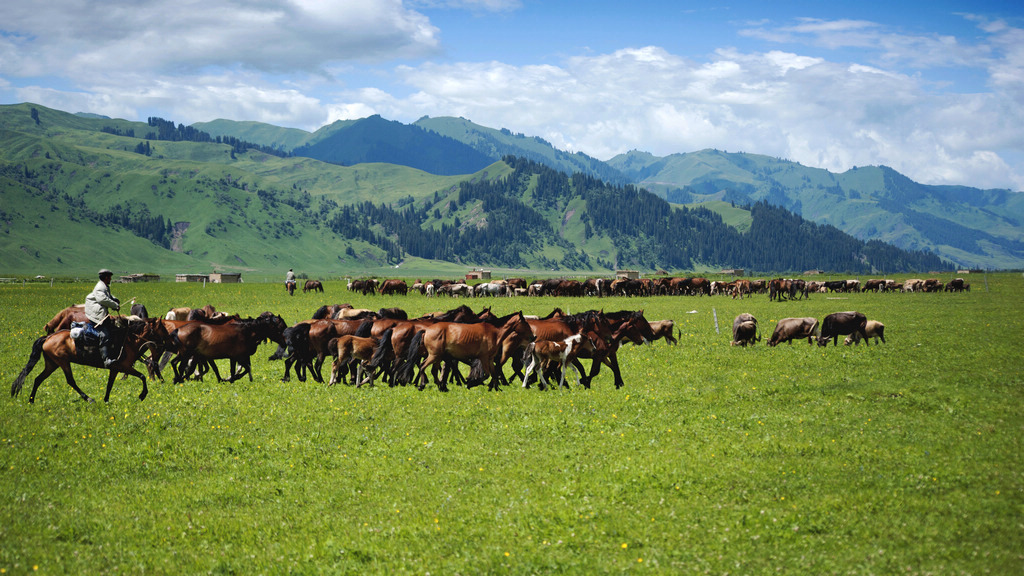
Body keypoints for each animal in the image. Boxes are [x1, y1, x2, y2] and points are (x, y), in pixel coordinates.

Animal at [11, 315, 169, 401]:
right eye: (163, 328)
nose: (166, 342)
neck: (129, 340)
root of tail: (48, 337)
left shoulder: (115, 369)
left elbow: (109, 385)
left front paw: (106, 400)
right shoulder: (124, 367)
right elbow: (142, 376)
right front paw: (142, 395)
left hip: (52, 364)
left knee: (38, 379)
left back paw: (31, 401)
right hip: (63, 362)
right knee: (70, 381)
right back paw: (89, 399)